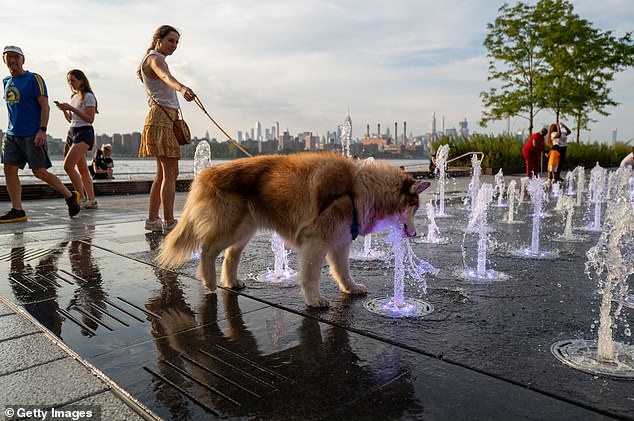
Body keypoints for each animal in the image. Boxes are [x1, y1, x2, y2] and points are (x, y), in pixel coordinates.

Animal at [156, 151, 428, 306]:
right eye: (414, 209)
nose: (414, 234)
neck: (357, 188)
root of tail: (204, 175)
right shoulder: (316, 242)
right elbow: (311, 275)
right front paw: (314, 299)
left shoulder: (339, 242)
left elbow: (343, 270)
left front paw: (350, 288)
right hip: (230, 227)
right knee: (208, 250)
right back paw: (209, 281)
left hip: (245, 229)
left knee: (231, 256)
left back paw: (231, 282)